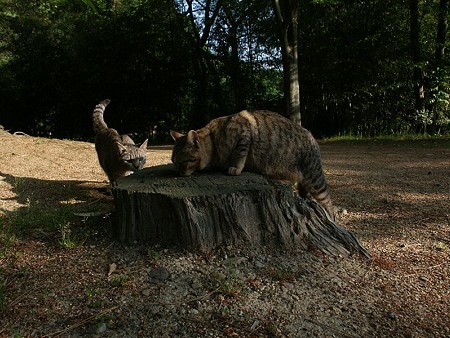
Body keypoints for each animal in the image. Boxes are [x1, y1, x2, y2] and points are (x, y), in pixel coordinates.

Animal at [171, 111, 336, 220]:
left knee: (328, 202)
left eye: (182, 162)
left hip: (315, 180)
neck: (213, 138)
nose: (177, 173)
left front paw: (235, 168)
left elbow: (239, 154)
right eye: (173, 162)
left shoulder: (244, 133)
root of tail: (312, 137)